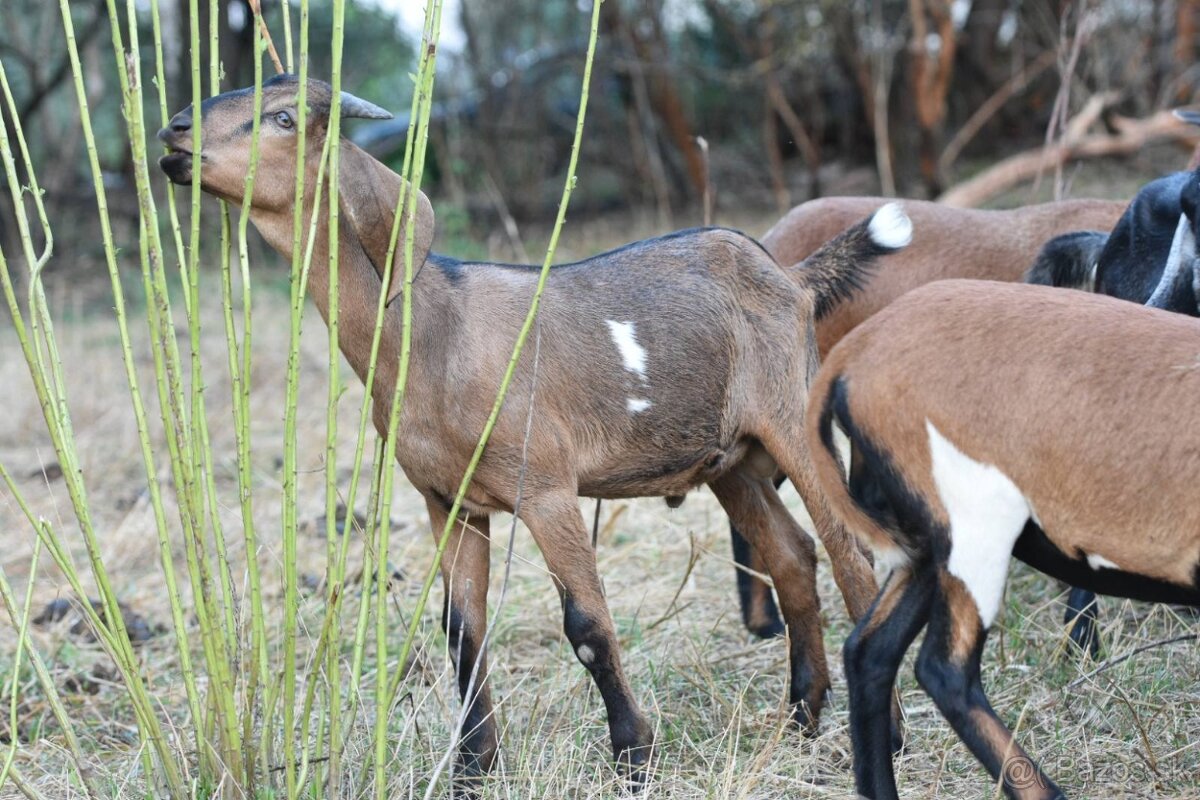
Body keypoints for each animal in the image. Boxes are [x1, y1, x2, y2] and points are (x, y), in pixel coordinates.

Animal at [154, 74, 897, 786]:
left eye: (283, 118)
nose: (174, 132)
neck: (431, 333)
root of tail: (790, 275)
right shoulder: (448, 502)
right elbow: (462, 631)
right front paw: (473, 767)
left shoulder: (545, 488)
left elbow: (588, 624)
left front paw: (635, 756)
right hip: (731, 460)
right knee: (793, 557)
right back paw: (802, 716)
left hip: (791, 419)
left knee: (852, 559)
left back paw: (883, 733)